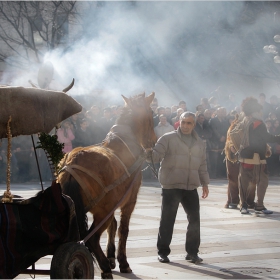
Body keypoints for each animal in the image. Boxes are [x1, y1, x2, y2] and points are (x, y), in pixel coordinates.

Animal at [57, 92, 156, 278]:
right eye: (152, 114)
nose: (153, 140)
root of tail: (74, 160)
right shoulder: (128, 201)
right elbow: (123, 229)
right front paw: (122, 262)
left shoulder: (114, 202)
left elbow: (114, 225)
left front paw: (111, 256)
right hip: (102, 211)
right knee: (92, 238)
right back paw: (104, 267)